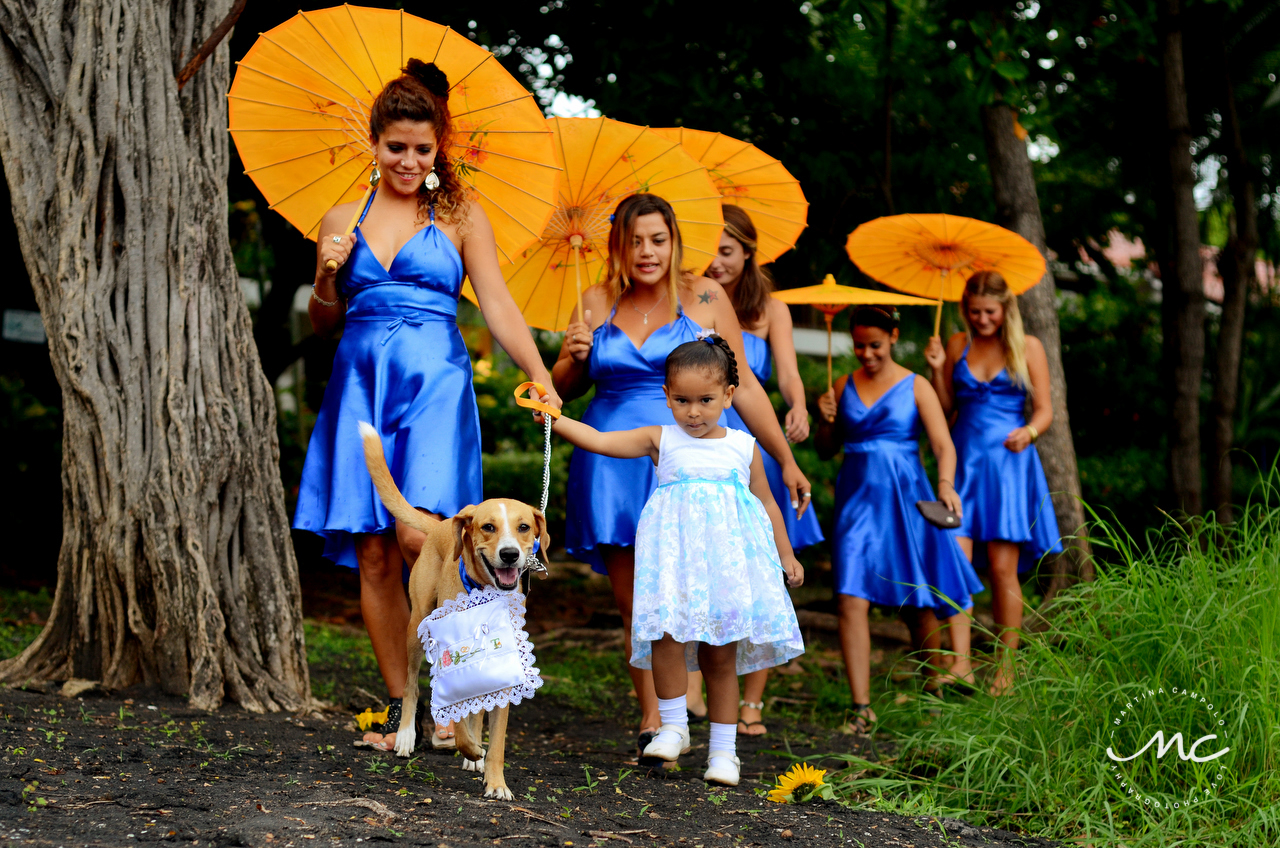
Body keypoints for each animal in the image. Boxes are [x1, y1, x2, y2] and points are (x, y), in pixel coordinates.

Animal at [358, 425, 547, 804]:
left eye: (523, 527)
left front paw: (495, 780)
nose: (509, 554)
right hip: (415, 628)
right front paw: (470, 748)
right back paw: (406, 736)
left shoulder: (507, 668)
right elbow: (457, 721)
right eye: (488, 527)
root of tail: (443, 524)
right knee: (410, 685)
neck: (485, 595)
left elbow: (496, 738)